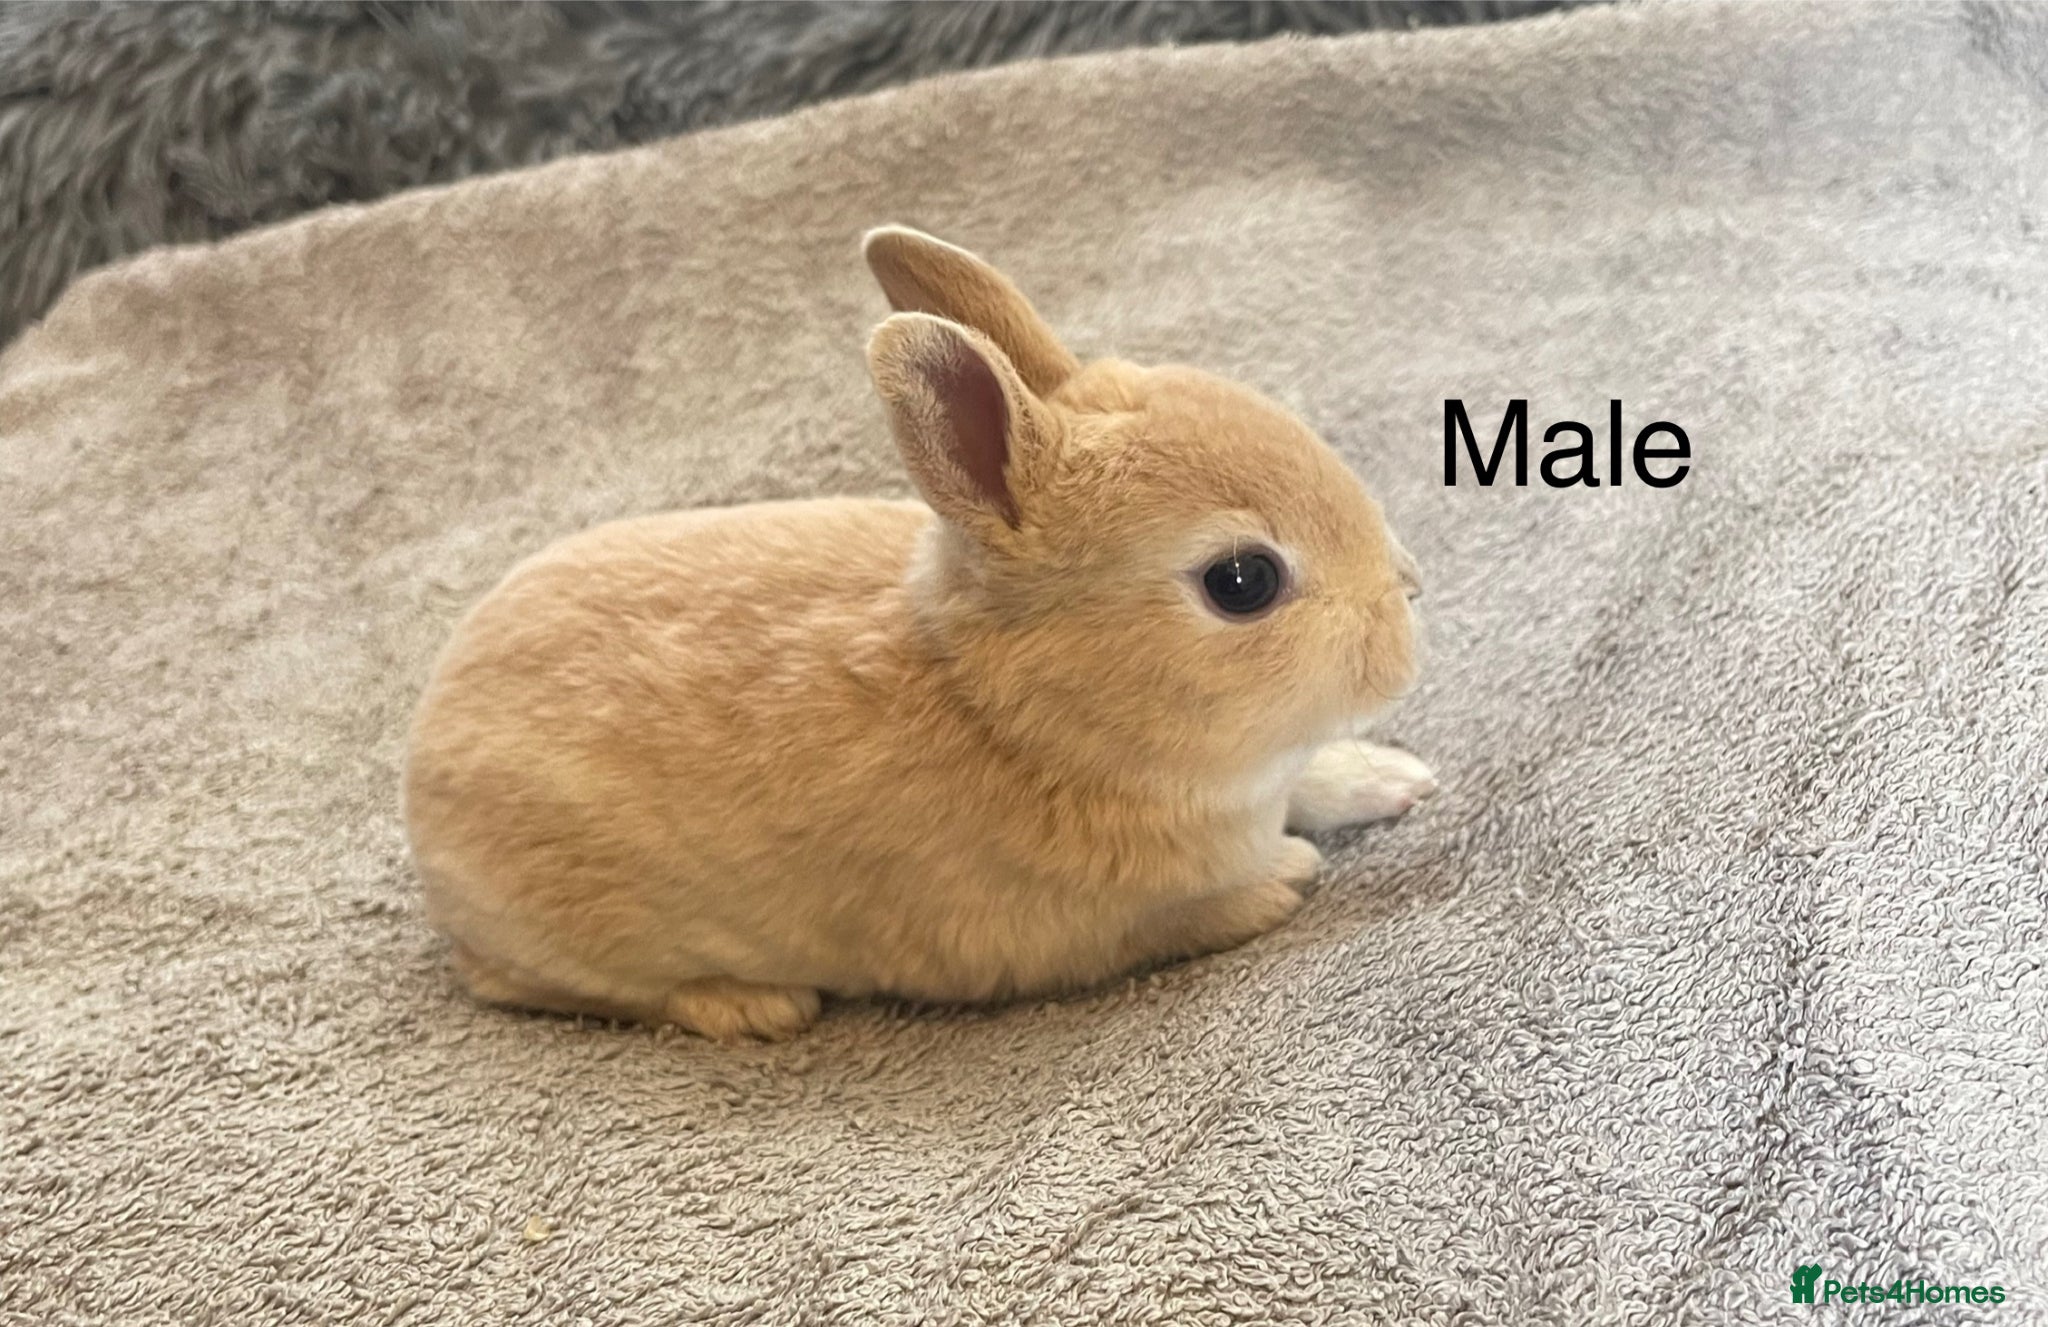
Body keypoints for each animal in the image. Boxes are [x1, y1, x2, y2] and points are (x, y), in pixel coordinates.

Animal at [401, 225, 1436, 1043]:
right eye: (1242, 582)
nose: (1408, 603)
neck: (1020, 721)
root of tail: (423, 763)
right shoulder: (1072, 932)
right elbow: (1199, 911)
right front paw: (1289, 875)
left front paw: (1396, 779)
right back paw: (752, 1005)